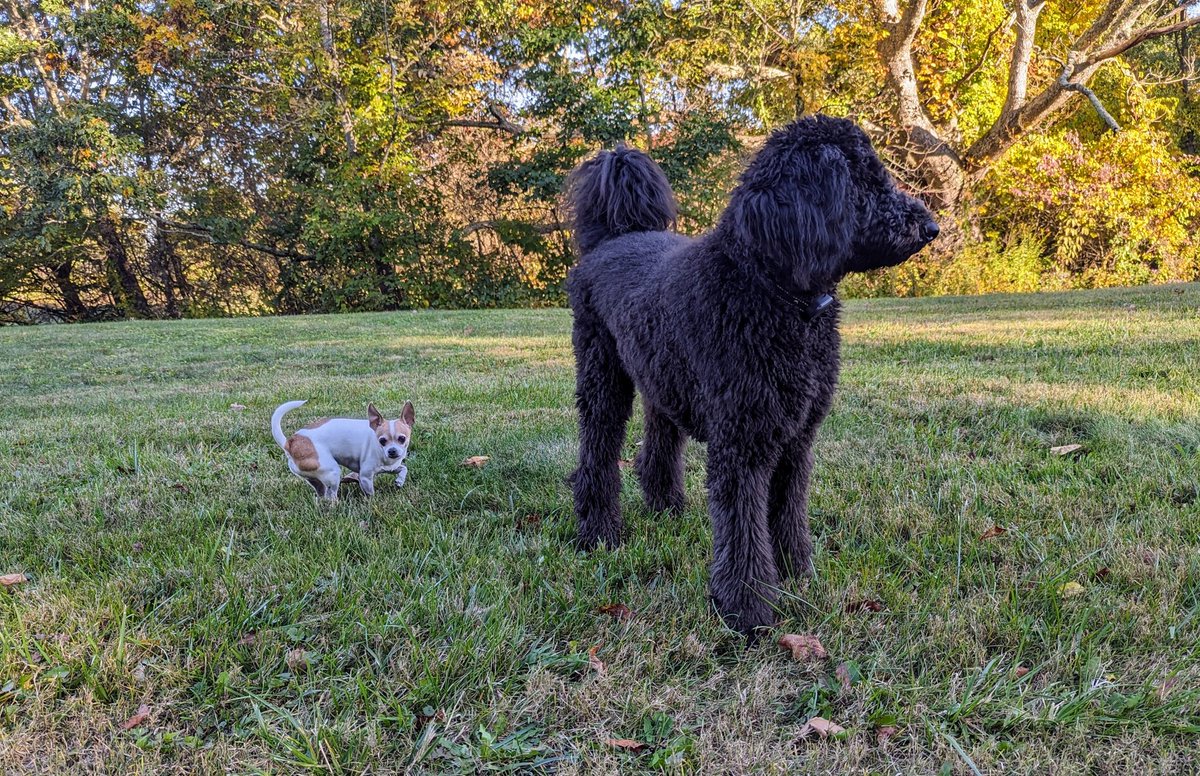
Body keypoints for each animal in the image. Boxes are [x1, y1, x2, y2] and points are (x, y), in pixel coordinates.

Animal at [272, 400, 412, 503]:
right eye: (382, 441)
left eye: (402, 439)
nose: (392, 451)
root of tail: (290, 443)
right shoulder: (365, 476)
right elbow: (370, 492)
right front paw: (373, 501)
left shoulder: (391, 467)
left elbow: (404, 468)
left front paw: (399, 481)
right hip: (332, 472)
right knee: (332, 496)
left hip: (315, 478)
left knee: (322, 494)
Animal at [561, 115, 936, 638]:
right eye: (863, 184)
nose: (930, 226)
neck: (768, 290)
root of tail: (617, 236)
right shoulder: (743, 443)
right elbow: (743, 529)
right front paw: (748, 609)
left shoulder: (796, 438)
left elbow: (787, 513)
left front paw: (798, 575)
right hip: (603, 378)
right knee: (597, 452)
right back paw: (599, 533)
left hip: (662, 378)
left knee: (657, 446)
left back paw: (667, 508)